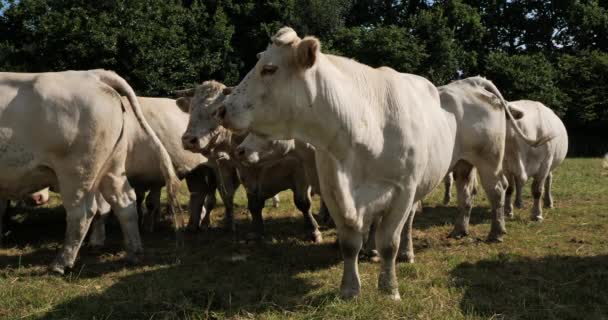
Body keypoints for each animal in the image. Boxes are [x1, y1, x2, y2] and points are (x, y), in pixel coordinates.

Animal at [0, 69, 179, 272]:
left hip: (77, 172)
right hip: (112, 168)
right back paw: (134, 254)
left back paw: (61, 263)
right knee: (125, 203)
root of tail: (92, 74)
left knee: (82, 213)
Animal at [177, 81, 324, 241]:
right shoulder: (246, 173)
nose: (188, 140)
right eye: (191, 110)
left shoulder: (300, 169)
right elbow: (253, 204)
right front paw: (257, 231)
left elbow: (302, 202)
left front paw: (313, 230)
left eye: (215, 111)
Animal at [214, 27, 456, 300]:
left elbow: (389, 243)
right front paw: (349, 289)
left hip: (418, 188)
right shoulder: (333, 191)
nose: (222, 110)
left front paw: (389, 288)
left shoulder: (403, 191)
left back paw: (407, 252)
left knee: (407, 224)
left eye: (269, 69)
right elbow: (349, 245)